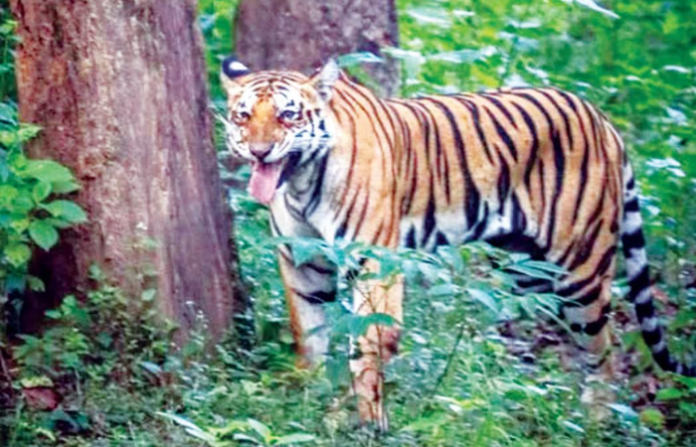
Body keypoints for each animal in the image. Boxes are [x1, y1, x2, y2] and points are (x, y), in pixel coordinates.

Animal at [220, 56, 695, 430]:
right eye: (243, 116)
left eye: (288, 115)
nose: (259, 152)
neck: (300, 180)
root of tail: (601, 118)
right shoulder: (303, 263)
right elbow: (311, 342)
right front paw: (311, 407)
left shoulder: (374, 261)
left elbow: (367, 347)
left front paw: (368, 425)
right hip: (530, 271)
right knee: (575, 344)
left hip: (580, 268)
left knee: (605, 351)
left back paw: (593, 423)